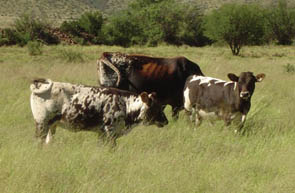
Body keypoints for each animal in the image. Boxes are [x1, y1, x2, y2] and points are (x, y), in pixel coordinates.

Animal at [30, 78, 169, 145]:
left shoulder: (101, 133)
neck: (125, 105)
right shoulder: (110, 130)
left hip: (51, 126)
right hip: (41, 124)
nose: (166, 121)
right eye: (156, 107)